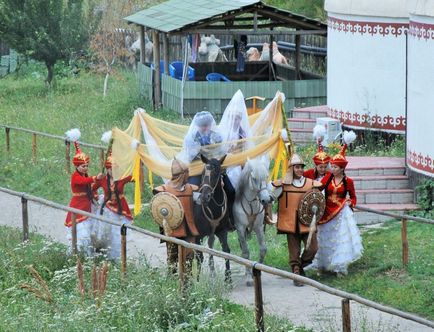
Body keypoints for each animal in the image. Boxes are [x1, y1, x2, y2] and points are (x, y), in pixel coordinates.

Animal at [234, 158, 272, 286]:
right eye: (254, 178)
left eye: (267, 177)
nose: (266, 200)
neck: (251, 205)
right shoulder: (240, 227)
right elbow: (246, 252)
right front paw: (249, 278)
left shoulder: (258, 227)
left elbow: (263, 249)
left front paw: (255, 270)